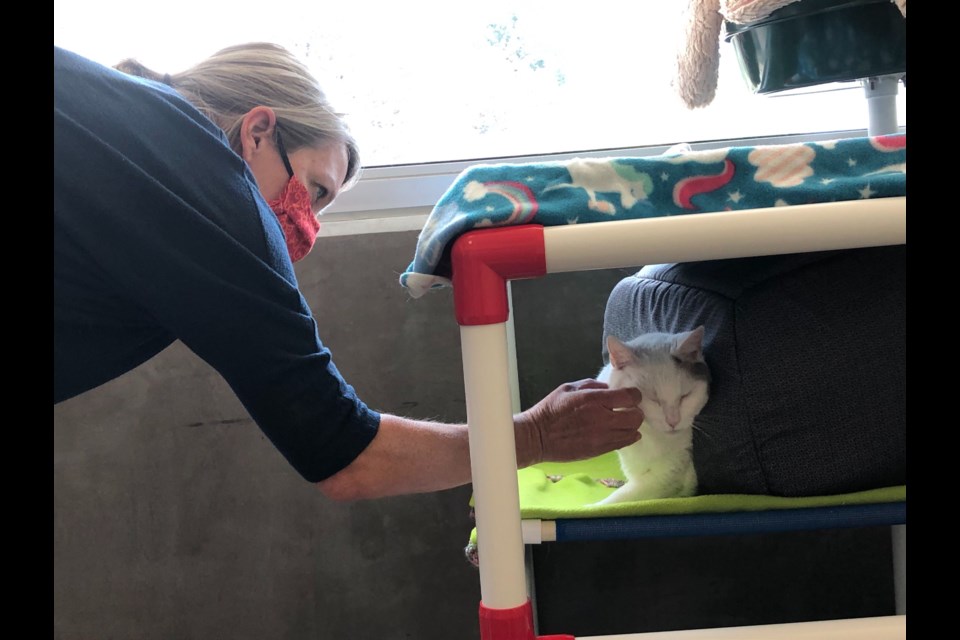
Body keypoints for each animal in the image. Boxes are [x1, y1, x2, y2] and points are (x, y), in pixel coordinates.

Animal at [596, 328, 708, 502]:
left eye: (685, 396)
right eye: (653, 398)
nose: (673, 421)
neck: (649, 438)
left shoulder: (669, 476)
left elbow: (619, 498)